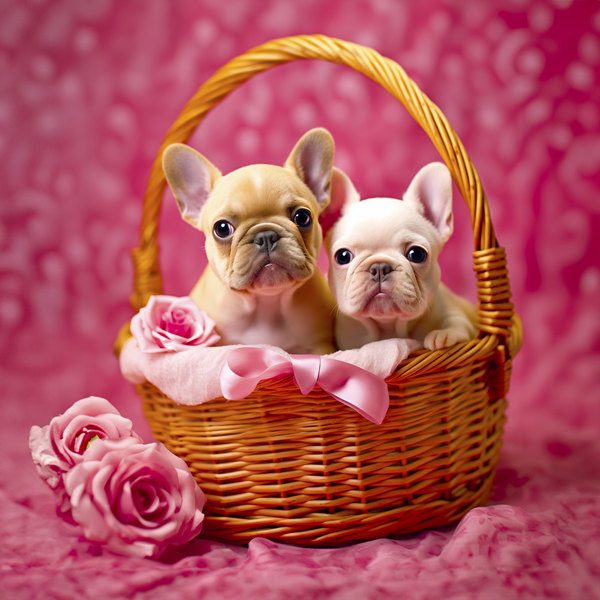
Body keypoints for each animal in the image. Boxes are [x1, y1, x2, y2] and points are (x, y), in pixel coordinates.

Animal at [324, 163, 478, 352]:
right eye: (343, 256)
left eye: (417, 254)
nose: (380, 267)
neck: (388, 327)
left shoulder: (452, 311)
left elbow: (458, 326)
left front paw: (444, 335)